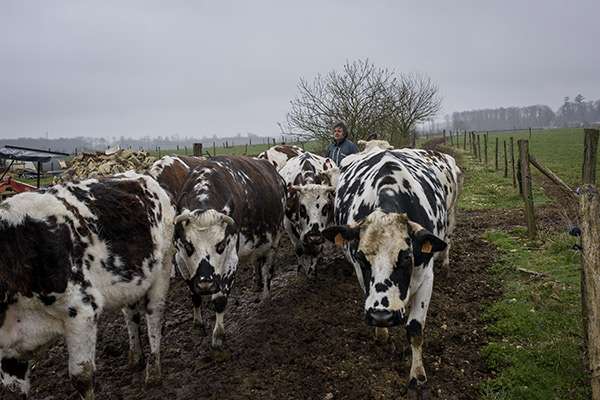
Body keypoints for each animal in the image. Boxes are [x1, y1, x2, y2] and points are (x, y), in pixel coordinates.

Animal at [0, 173, 177, 400]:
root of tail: (141, 176)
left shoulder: (82, 311)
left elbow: (82, 377)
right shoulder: (10, 349)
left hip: (163, 268)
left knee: (154, 316)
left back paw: (153, 372)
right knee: (131, 315)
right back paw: (135, 358)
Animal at [173, 156, 286, 350]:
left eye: (220, 245)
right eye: (189, 246)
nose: (205, 283)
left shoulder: (231, 260)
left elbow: (219, 300)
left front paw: (218, 335)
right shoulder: (180, 258)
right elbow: (194, 295)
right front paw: (198, 324)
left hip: (274, 242)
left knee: (267, 271)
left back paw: (265, 296)